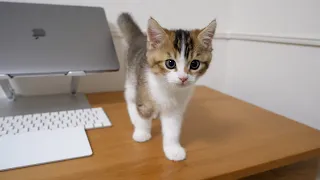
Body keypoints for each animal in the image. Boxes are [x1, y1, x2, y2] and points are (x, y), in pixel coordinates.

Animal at [116, 13, 216, 162]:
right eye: (170, 63)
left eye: (195, 64)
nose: (183, 78)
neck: (168, 88)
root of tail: (140, 36)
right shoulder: (144, 93)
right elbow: (143, 116)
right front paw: (142, 133)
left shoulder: (175, 109)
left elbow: (172, 128)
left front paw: (173, 149)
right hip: (131, 76)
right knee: (130, 97)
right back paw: (134, 117)